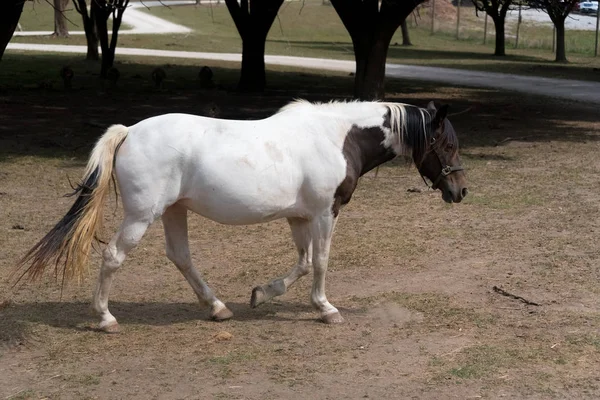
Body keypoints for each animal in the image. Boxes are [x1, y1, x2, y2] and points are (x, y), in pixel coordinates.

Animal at [12, 99, 464, 332]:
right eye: (448, 145)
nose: (460, 192)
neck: (337, 137)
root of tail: (129, 131)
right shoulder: (324, 212)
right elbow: (320, 261)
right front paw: (325, 309)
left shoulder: (299, 217)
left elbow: (303, 262)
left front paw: (261, 294)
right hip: (143, 215)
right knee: (113, 258)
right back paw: (105, 318)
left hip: (174, 212)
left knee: (181, 257)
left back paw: (217, 307)